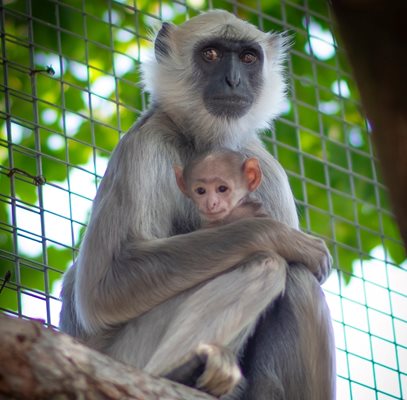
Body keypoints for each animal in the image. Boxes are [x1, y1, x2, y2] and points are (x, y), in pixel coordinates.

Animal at [59, 9, 334, 400]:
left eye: (248, 58)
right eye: (212, 54)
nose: (233, 80)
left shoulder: (263, 166)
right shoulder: (145, 143)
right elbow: (104, 288)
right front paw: (277, 235)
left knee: (298, 279)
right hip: (126, 354)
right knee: (270, 264)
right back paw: (176, 372)